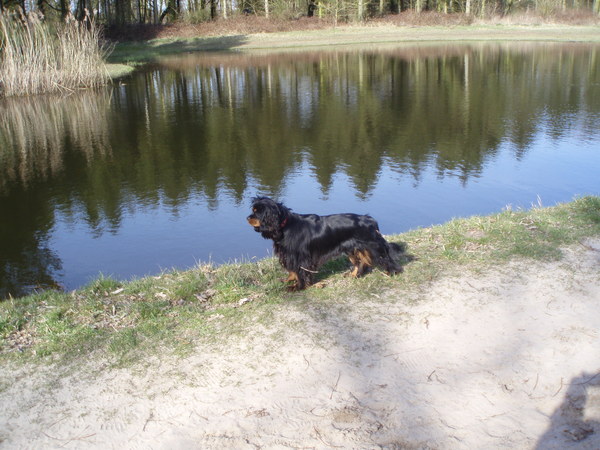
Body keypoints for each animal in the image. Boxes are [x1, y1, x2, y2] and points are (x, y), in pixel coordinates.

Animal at [247, 196, 406, 290]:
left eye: (257, 212)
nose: (248, 217)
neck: (285, 225)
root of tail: (370, 220)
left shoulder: (300, 258)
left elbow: (300, 273)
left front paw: (298, 287)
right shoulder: (289, 255)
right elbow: (293, 271)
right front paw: (289, 280)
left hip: (372, 247)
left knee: (386, 259)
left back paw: (393, 272)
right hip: (353, 249)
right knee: (359, 263)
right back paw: (353, 275)